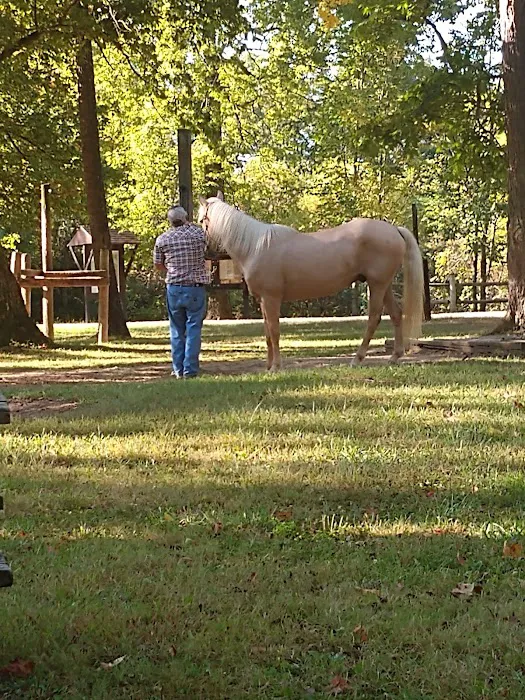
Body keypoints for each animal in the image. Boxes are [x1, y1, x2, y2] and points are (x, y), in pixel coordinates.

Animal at [198, 193, 424, 371]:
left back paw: (357, 359)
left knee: (374, 319)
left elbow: (274, 331)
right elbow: (268, 334)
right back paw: (394, 357)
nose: (206, 250)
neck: (256, 247)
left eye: (201, 220)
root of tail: (394, 230)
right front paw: (269, 366)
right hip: (383, 285)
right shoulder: (263, 300)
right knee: (395, 315)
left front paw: (276, 367)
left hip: (377, 285)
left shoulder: (271, 299)